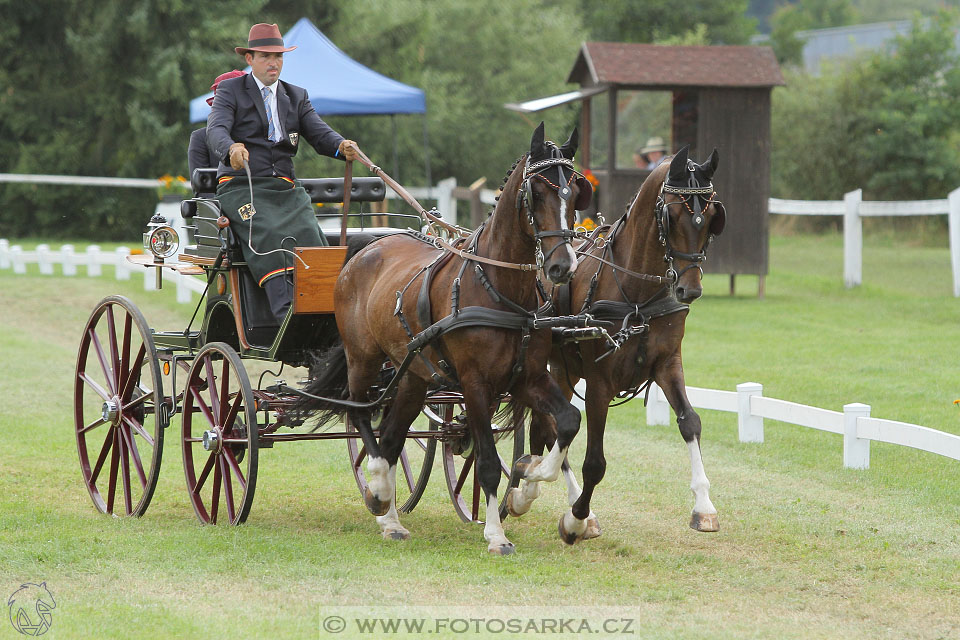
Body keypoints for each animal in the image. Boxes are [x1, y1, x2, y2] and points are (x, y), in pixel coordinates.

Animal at [300, 122, 592, 552]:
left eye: (574, 191)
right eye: (536, 192)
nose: (561, 266)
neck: (499, 288)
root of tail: (367, 247)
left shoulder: (529, 377)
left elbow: (568, 421)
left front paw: (532, 476)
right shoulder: (474, 384)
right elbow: (487, 462)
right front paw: (496, 534)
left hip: (413, 376)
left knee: (392, 436)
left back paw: (390, 518)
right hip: (363, 358)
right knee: (360, 413)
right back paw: (378, 488)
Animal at [512, 148, 724, 544]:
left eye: (711, 217)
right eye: (672, 216)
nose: (689, 290)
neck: (635, 293)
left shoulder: (668, 364)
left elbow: (690, 422)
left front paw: (704, 506)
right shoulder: (599, 382)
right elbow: (595, 461)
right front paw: (577, 518)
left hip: (558, 369)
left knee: (542, 427)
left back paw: (526, 485)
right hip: (555, 368)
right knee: (549, 427)